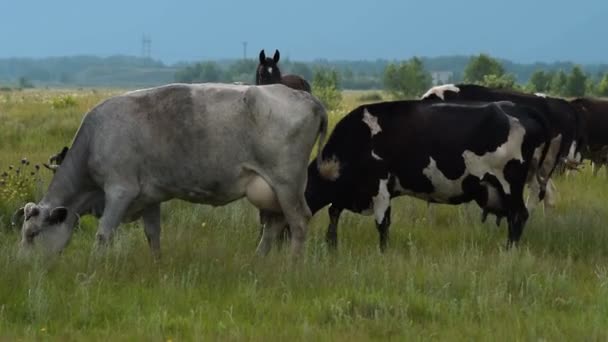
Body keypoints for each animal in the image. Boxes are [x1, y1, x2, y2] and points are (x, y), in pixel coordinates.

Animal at [11, 83, 328, 256]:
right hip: (270, 189)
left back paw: (293, 266)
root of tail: (307, 98)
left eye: (33, 235)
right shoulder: (150, 197)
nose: (23, 266)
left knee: (299, 222)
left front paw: (93, 271)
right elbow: (153, 235)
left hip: (287, 184)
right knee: (275, 224)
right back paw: (258, 260)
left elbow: (103, 234)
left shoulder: (120, 191)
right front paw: (156, 266)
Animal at [306, 100, 552, 250]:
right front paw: (331, 246)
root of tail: (521, 109)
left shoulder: (380, 185)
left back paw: (510, 250)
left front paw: (383, 253)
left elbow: (382, 224)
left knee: (518, 215)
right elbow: (334, 213)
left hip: (510, 182)